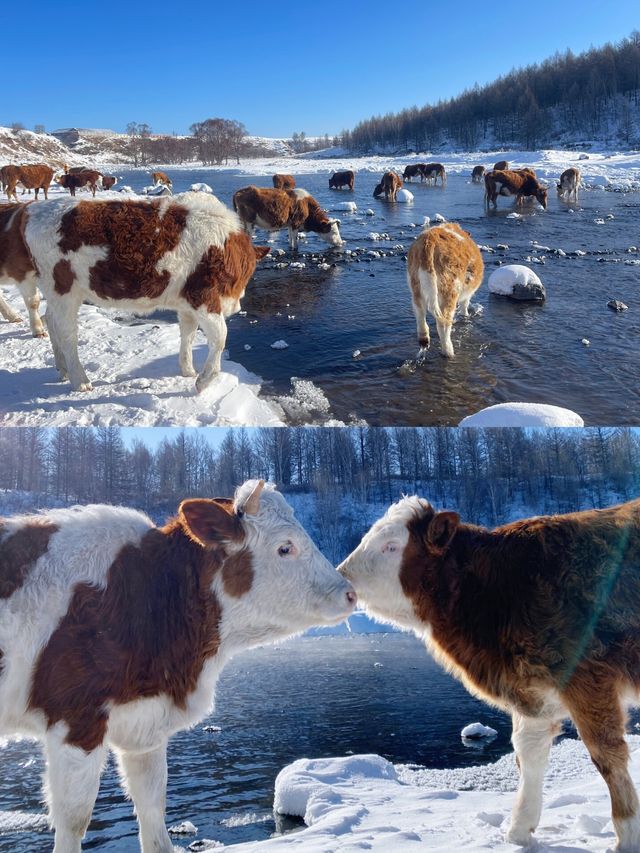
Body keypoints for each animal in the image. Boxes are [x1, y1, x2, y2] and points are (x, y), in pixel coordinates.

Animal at [2, 191, 268, 392]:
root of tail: (32, 210)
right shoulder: (203, 297)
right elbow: (220, 337)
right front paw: (203, 382)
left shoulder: (186, 303)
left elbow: (188, 335)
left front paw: (187, 371)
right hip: (64, 290)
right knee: (67, 333)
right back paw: (81, 381)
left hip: (57, 292)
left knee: (51, 321)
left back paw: (63, 369)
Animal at [342, 496, 640, 848]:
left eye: (390, 546)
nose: (340, 575)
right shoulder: (532, 691)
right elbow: (527, 753)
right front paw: (518, 831)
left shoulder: (586, 679)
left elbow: (606, 755)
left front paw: (627, 837)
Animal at [408, 223, 482, 356]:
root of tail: (429, 238)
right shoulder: (467, 294)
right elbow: (464, 306)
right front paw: (466, 315)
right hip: (450, 290)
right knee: (444, 324)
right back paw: (449, 352)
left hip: (416, 288)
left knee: (420, 315)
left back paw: (424, 340)